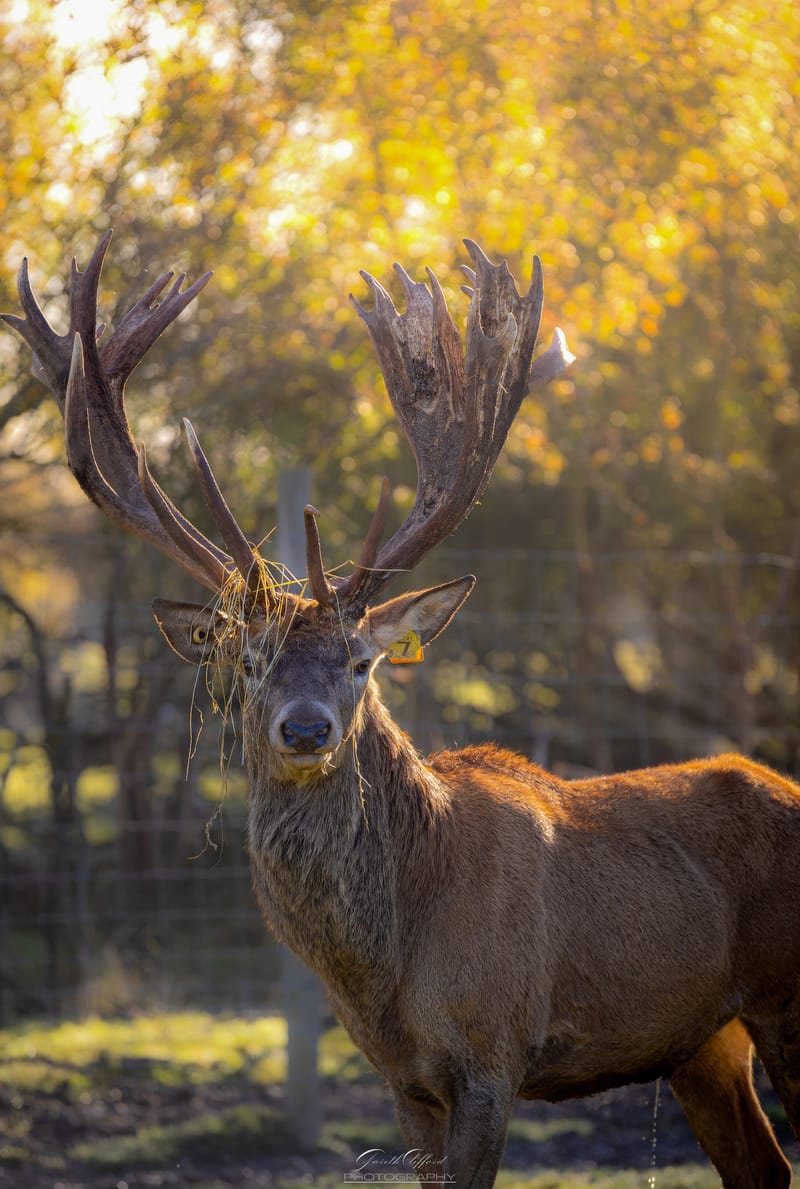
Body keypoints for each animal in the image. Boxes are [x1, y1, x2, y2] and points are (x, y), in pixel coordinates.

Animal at [5, 230, 800, 1189]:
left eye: (361, 661)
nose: (306, 727)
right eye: (251, 660)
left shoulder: (494, 1051)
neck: (390, 974)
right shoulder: (404, 1080)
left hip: (788, 1002)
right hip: (703, 1043)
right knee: (764, 1166)